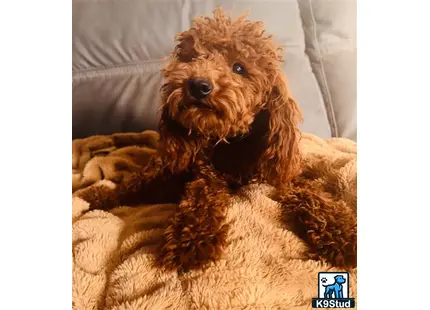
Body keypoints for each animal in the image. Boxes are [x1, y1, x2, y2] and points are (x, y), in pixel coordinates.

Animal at [76, 8, 356, 272]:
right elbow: (201, 199)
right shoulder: (205, 174)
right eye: (192, 58)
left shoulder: (281, 174)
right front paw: (190, 241)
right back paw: (97, 197)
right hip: (159, 172)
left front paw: (343, 233)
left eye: (239, 68)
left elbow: (313, 195)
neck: (233, 142)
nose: (198, 85)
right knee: (130, 187)